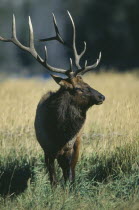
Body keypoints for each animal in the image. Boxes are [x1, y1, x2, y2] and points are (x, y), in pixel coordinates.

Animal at [0, 11, 104, 185]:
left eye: (87, 83)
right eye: (78, 88)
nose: (102, 96)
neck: (59, 133)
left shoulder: (69, 147)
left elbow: (68, 174)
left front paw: (68, 189)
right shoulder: (47, 149)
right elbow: (53, 179)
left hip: (78, 141)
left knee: (73, 168)